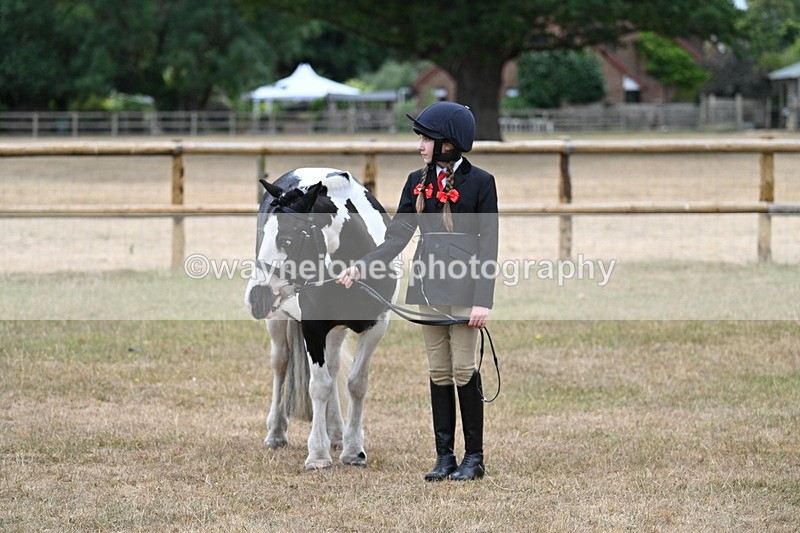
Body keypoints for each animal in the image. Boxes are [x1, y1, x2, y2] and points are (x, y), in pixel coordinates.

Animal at [243, 167, 399, 470]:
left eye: (287, 239)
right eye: (264, 234)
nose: (255, 298)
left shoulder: (376, 326)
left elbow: (356, 384)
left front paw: (353, 449)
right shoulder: (312, 329)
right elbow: (319, 386)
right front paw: (317, 454)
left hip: (336, 330)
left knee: (335, 366)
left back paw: (336, 432)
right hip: (277, 320)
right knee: (281, 363)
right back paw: (276, 432)